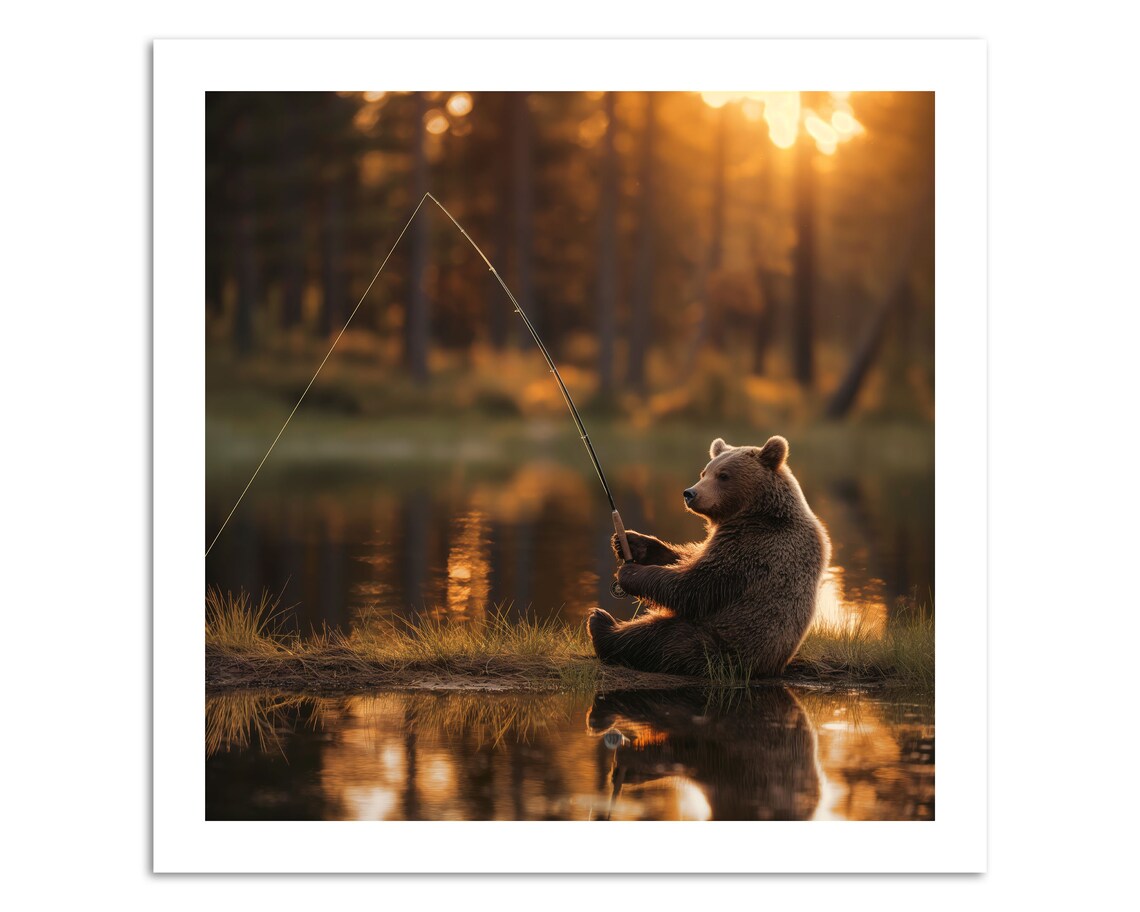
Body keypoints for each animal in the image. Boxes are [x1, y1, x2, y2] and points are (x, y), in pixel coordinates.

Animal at [588, 435, 830, 677]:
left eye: (723, 475)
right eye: (704, 472)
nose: (690, 493)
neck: (758, 511)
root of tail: (772, 667)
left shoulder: (755, 546)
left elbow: (696, 584)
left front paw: (630, 572)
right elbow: (686, 557)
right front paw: (632, 542)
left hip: (723, 643)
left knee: (656, 638)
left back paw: (602, 624)